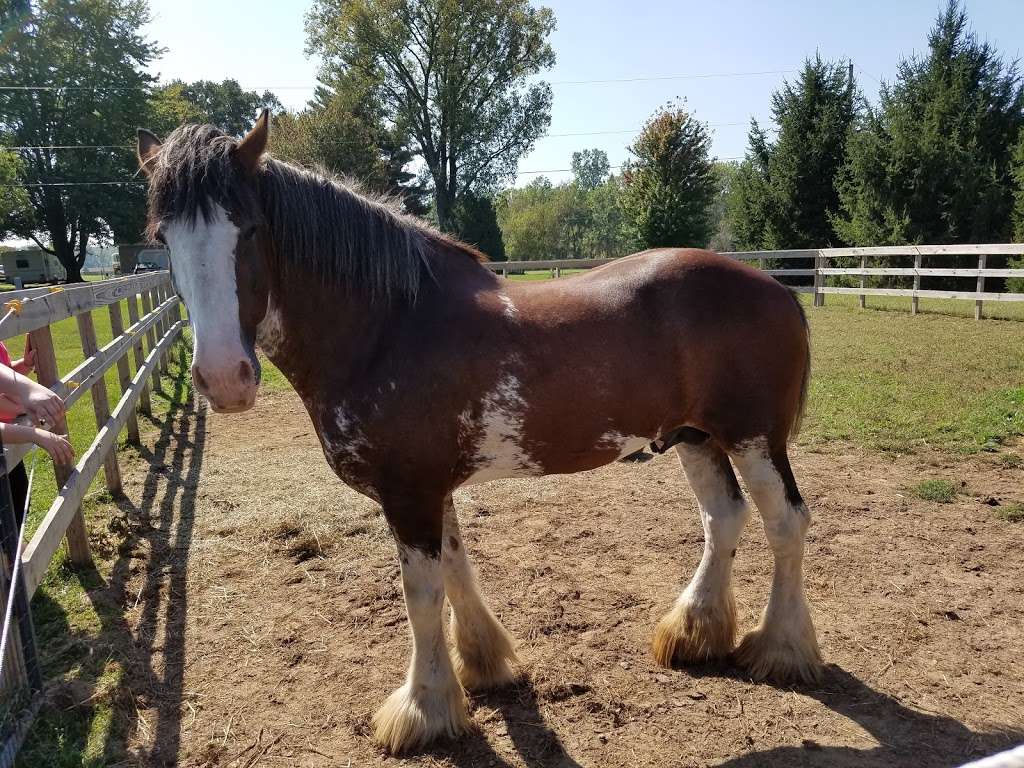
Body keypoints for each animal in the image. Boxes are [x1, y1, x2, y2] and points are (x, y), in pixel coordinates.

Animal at [138, 111, 823, 753]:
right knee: (724, 518)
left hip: (753, 439)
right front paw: (482, 666)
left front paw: (423, 710)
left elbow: (421, 595)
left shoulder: (409, 492)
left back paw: (780, 650)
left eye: (250, 228)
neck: (387, 326)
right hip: (695, 437)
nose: (224, 378)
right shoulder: (430, 487)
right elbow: (456, 568)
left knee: (785, 522)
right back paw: (693, 633)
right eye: (163, 237)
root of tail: (777, 290)